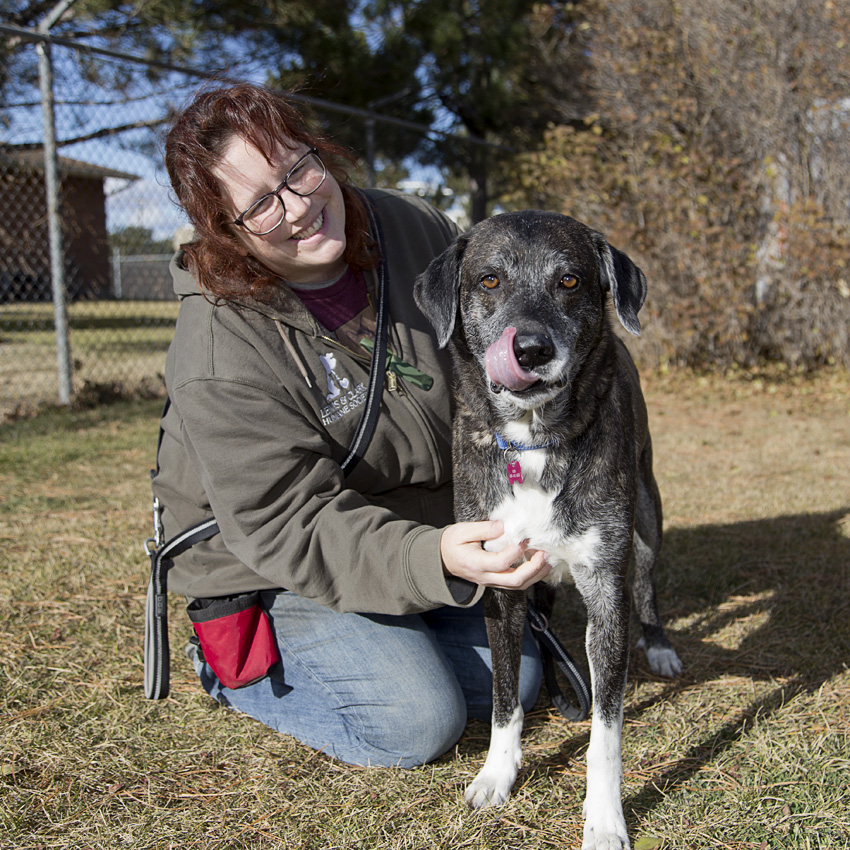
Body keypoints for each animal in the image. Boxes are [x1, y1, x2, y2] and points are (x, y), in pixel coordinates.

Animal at [414, 210, 680, 848]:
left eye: (570, 281)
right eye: (488, 279)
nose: (531, 349)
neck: (534, 442)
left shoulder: (606, 591)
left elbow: (606, 731)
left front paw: (605, 819)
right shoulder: (500, 582)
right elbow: (505, 696)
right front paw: (496, 776)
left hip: (647, 514)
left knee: (647, 581)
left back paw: (659, 646)